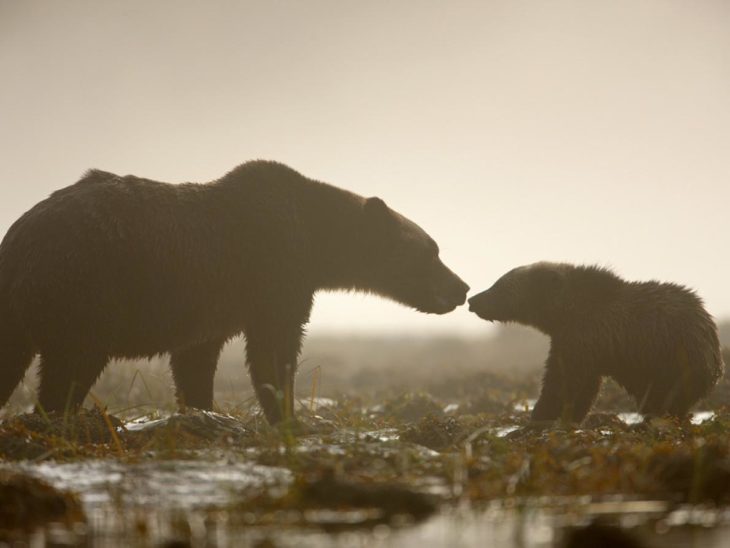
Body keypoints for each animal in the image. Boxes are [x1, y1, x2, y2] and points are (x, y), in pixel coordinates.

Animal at [0, 161, 466, 422]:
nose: (461, 287)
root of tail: (18, 238)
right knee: (71, 365)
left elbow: (196, 360)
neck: (316, 240)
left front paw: (204, 408)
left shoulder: (210, 308)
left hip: (20, 310)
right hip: (85, 289)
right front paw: (287, 415)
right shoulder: (273, 274)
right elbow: (274, 349)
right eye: (431, 251)